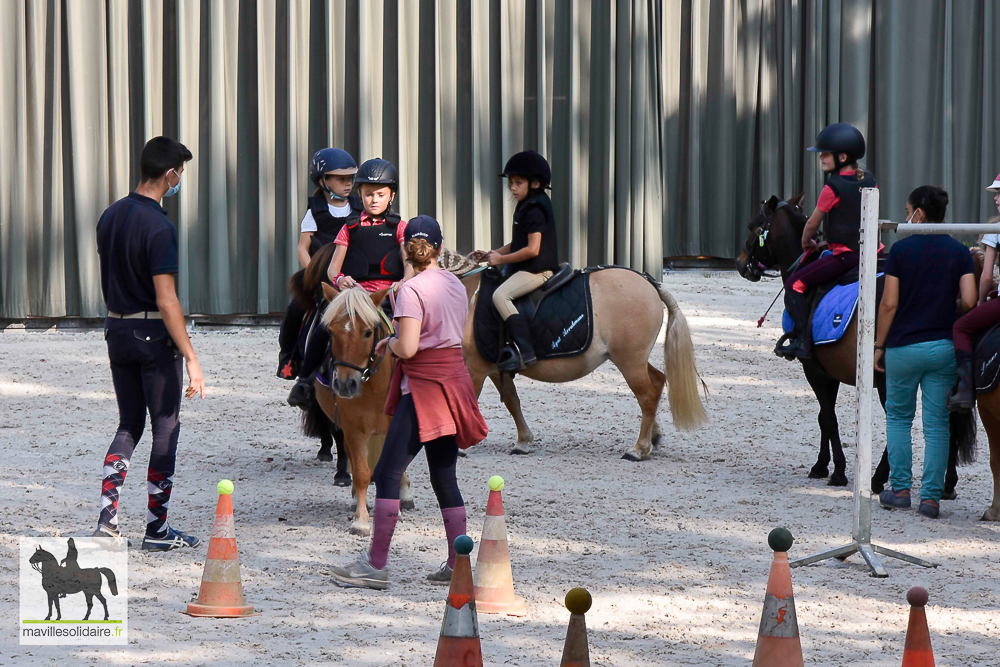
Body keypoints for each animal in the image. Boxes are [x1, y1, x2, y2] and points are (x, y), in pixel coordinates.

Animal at [458, 264, 708, 460]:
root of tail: (648, 282)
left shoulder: (475, 368)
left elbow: (469, 403)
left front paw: (459, 447)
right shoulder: (492, 369)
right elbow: (512, 401)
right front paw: (523, 442)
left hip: (629, 362)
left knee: (646, 396)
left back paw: (638, 449)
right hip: (634, 360)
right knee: (656, 384)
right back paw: (652, 438)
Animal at [736, 193, 976, 490]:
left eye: (754, 227)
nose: (740, 262)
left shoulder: (813, 369)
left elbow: (828, 417)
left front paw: (837, 470)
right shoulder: (829, 371)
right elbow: (823, 417)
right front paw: (821, 465)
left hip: (888, 379)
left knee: (899, 421)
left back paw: (879, 477)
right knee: (950, 422)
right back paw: (947, 484)